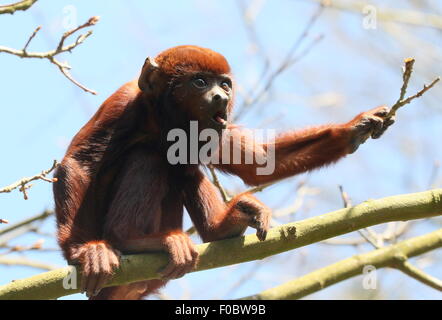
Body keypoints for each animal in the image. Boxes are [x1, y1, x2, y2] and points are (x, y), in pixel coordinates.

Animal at [51, 45, 394, 300]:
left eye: (225, 83)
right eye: (200, 82)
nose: (222, 97)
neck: (166, 119)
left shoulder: (215, 126)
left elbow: (258, 163)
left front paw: (354, 129)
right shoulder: (123, 103)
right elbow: (78, 164)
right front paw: (82, 250)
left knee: (184, 168)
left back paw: (222, 227)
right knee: (148, 156)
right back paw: (130, 239)